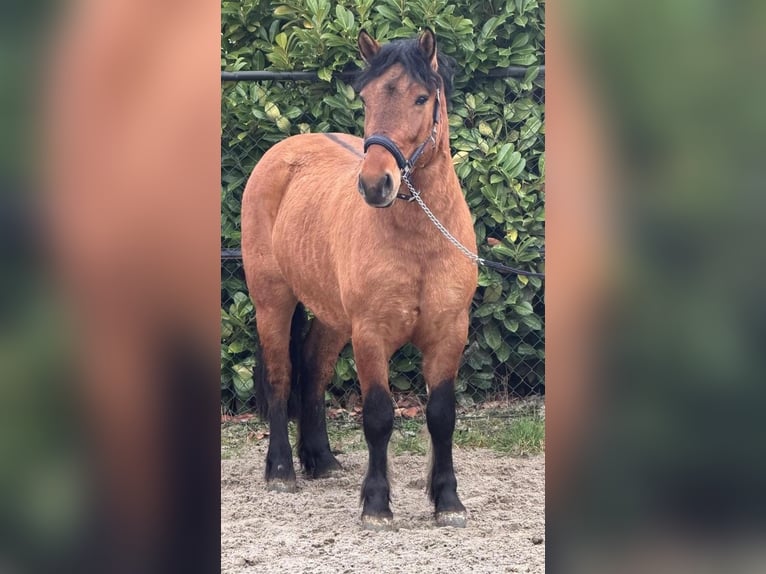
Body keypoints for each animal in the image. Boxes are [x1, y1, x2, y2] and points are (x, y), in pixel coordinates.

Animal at [241, 28, 477, 529]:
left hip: (332, 318)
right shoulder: (370, 334)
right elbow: (378, 416)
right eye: (366, 97)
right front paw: (376, 505)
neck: (420, 240)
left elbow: (441, 414)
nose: (374, 185)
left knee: (313, 368)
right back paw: (282, 470)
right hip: (272, 301)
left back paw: (321, 460)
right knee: (280, 376)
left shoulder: (449, 332)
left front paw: (448, 502)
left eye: (421, 97)